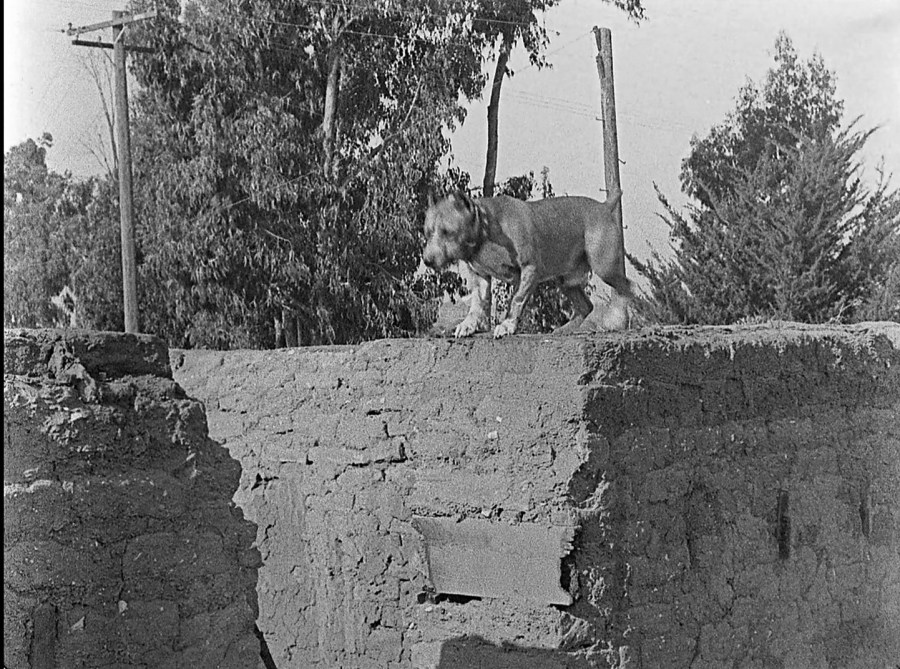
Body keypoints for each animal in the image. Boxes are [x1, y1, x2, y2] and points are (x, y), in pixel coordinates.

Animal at [422, 190, 633, 338]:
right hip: (566, 280)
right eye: (428, 232)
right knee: (586, 306)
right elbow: (477, 303)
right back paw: (565, 329)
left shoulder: (529, 269)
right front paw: (469, 325)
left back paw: (616, 320)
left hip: (604, 267)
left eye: (447, 232)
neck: (485, 229)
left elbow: (516, 300)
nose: (427, 260)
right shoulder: (480, 277)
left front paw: (507, 325)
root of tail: (604, 206)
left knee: (625, 287)